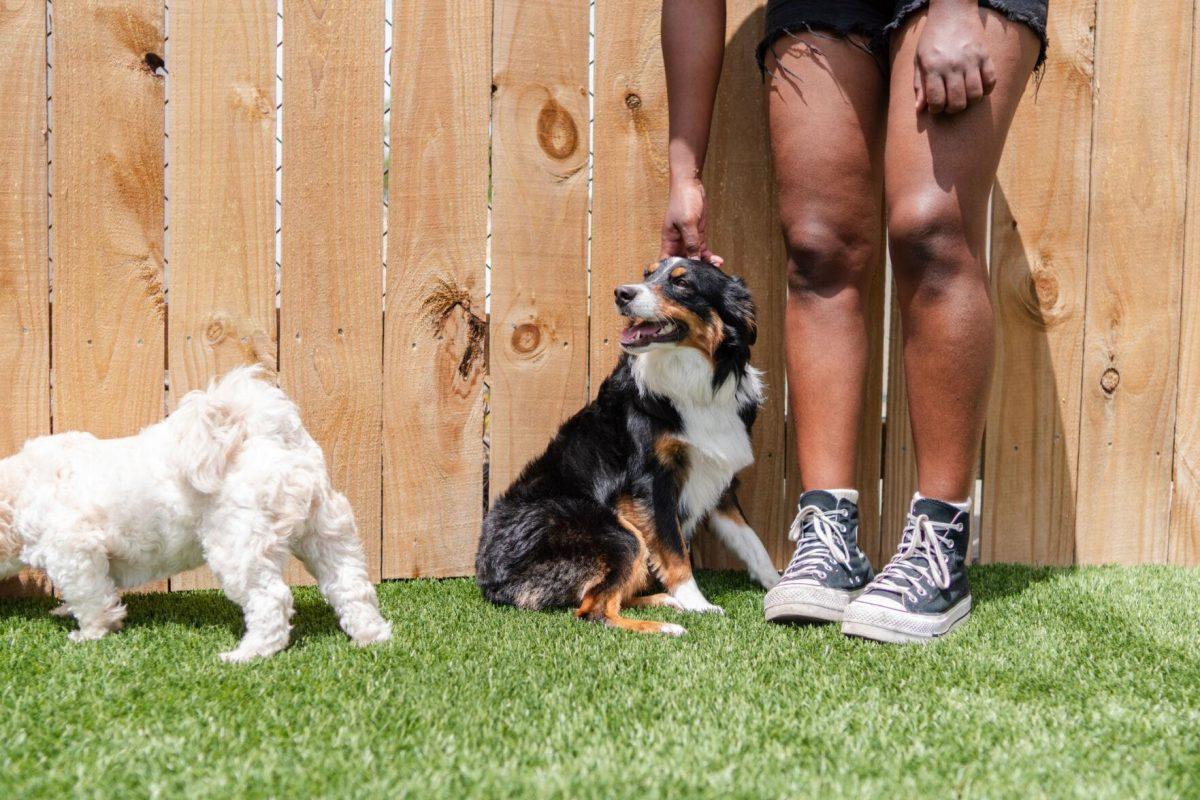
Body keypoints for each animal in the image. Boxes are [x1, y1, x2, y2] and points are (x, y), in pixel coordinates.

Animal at [0, 367, 391, 662]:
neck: (22, 488)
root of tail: (264, 436)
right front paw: (67, 612)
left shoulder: (75, 552)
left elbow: (90, 596)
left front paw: (91, 632)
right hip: (327, 532)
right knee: (351, 584)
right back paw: (371, 635)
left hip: (239, 548)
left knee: (271, 599)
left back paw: (249, 654)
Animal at [472, 260, 782, 633]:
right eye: (648, 274)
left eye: (682, 284)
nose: (622, 293)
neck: (693, 381)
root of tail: (493, 582)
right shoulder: (651, 483)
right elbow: (674, 549)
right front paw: (699, 604)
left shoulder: (719, 480)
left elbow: (751, 541)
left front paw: (779, 584)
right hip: (618, 532)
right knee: (593, 610)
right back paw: (666, 625)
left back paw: (664, 602)